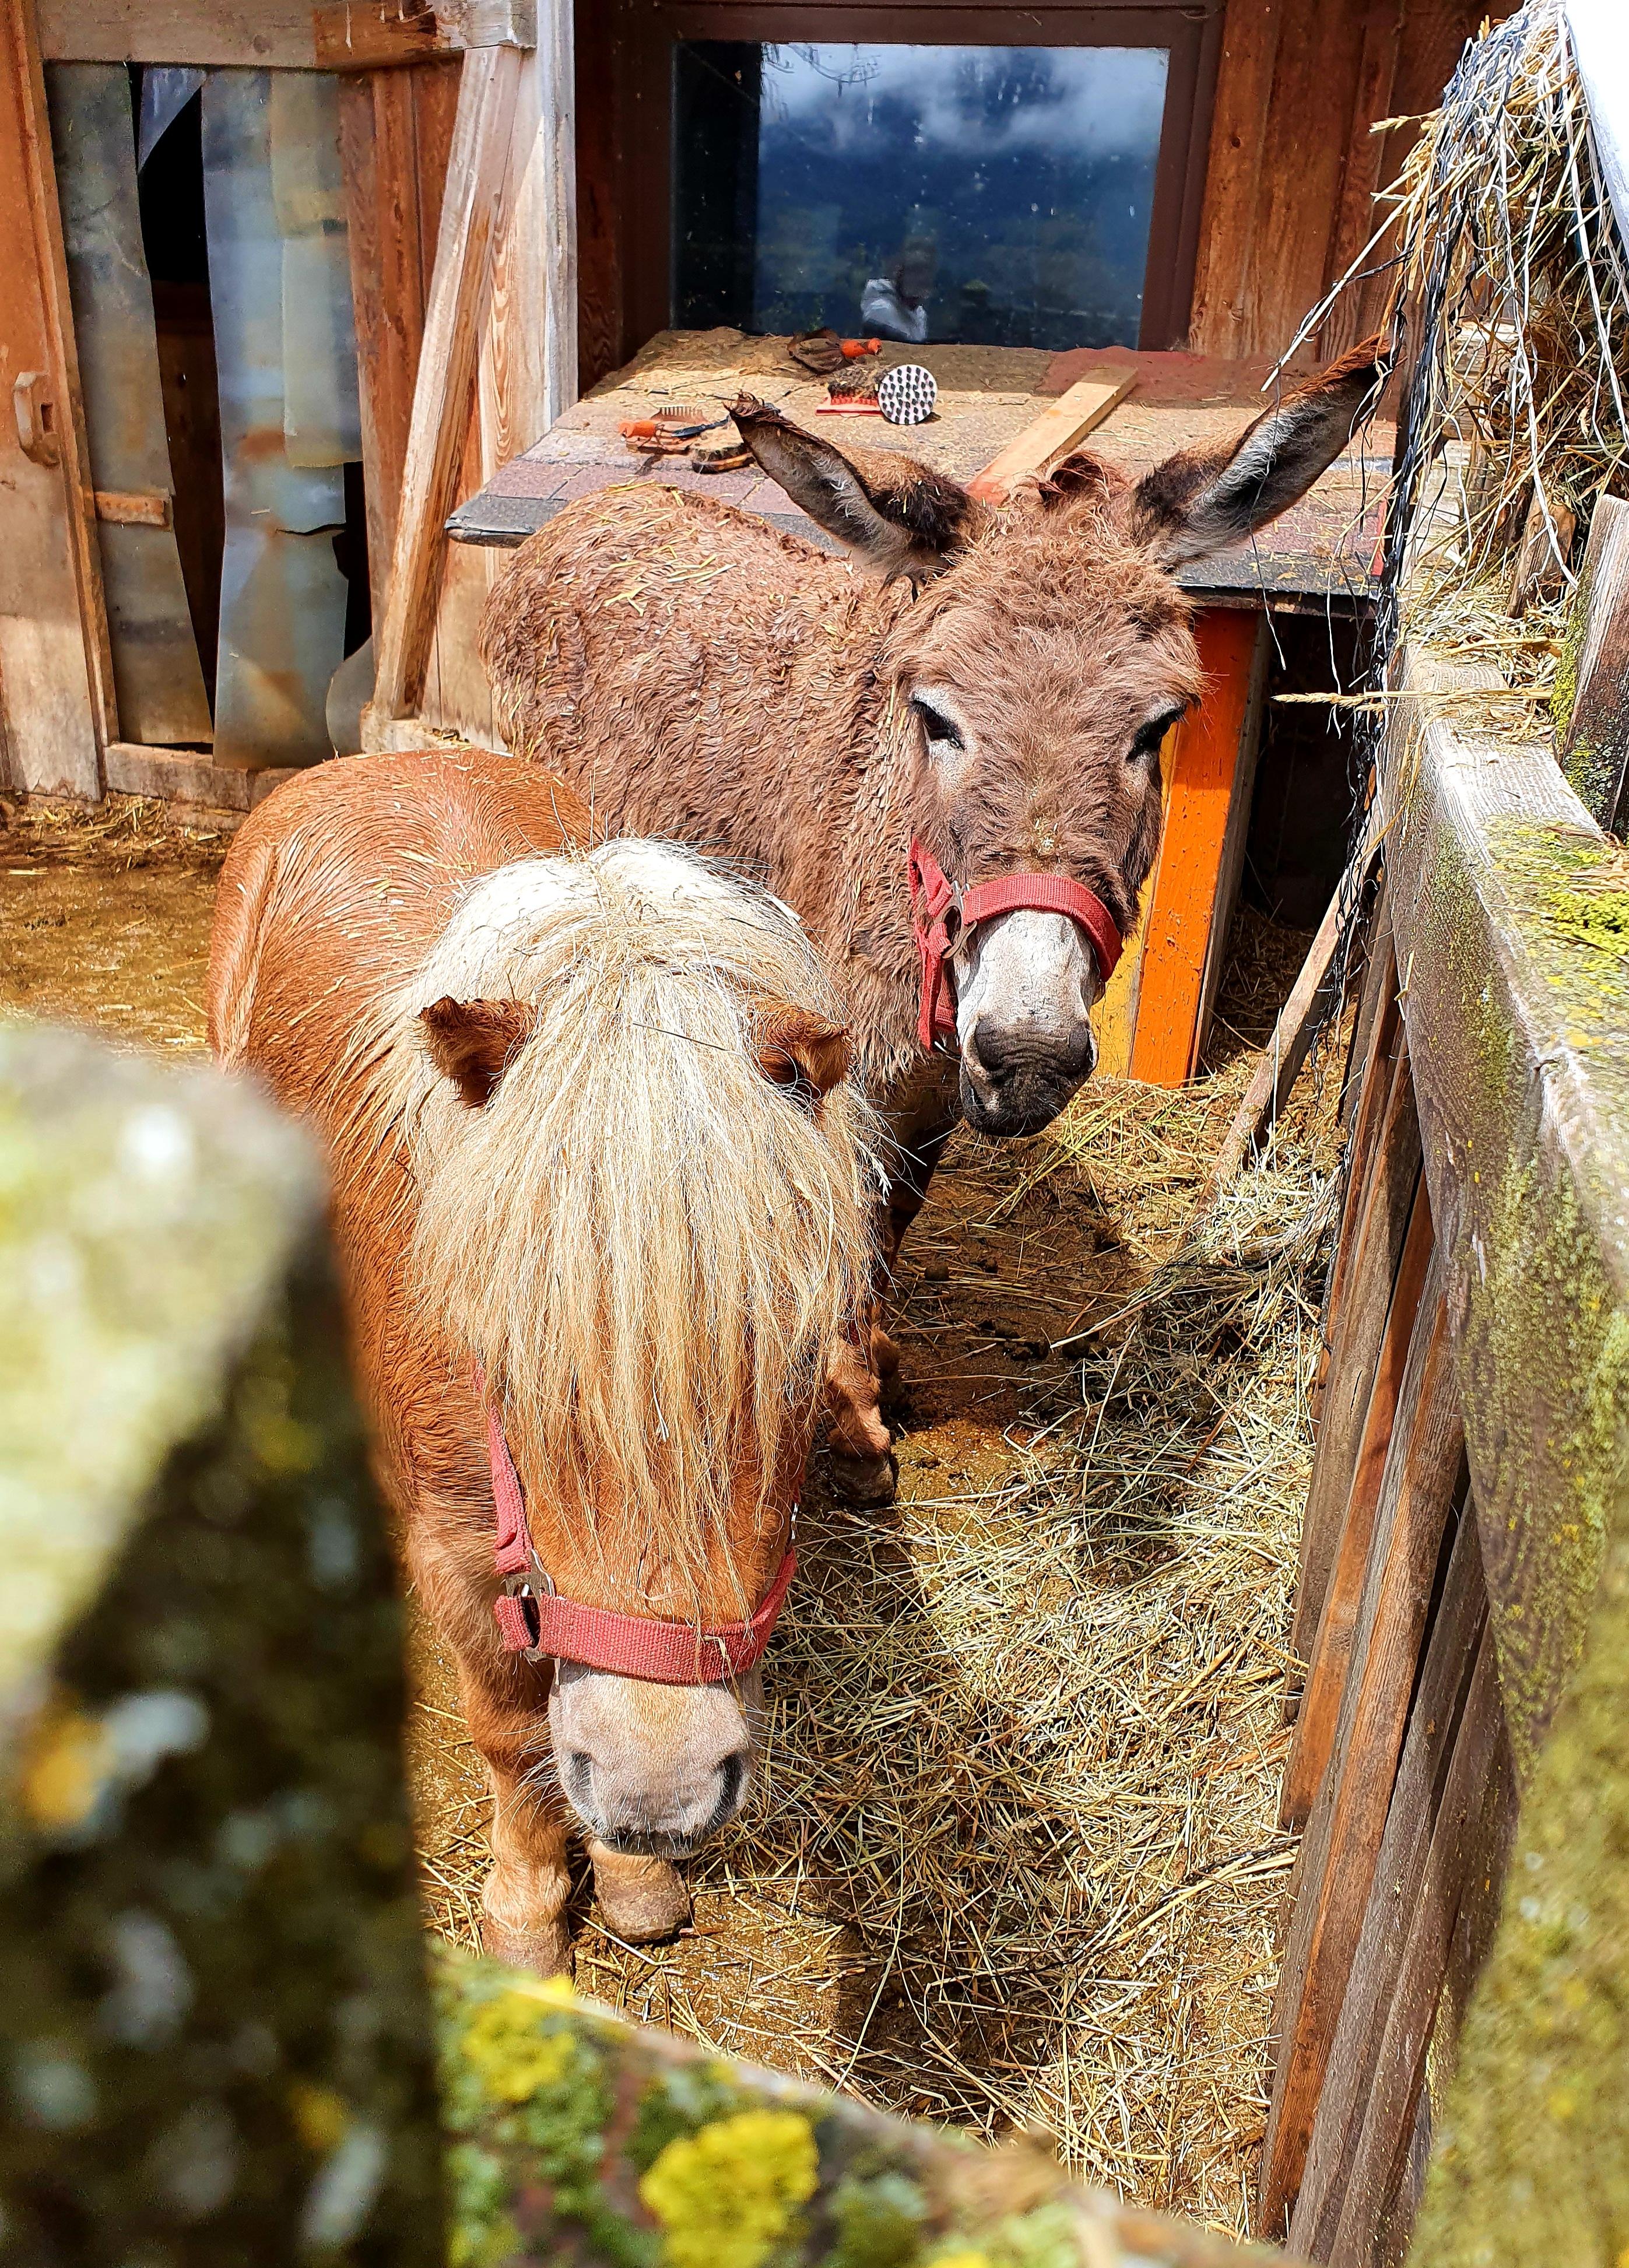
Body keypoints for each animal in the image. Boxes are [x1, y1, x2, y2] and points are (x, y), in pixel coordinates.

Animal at [207, 749, 875, 1971]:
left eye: (798, 1360)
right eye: (503, 1358)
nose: (659, 1789)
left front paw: (630, 1874)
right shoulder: (461, 1554)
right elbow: (514, 1732)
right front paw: (525, 1914)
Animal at [478, 343, 1383, 1501]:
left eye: (1158, 726)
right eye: (935, 717)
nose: (1031, 1050)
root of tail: (597, 509)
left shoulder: (927, 1098)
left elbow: (891, 1223)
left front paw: (879, 1372)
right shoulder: (838, 1072)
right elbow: (839, 1226)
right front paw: (849, 1418)